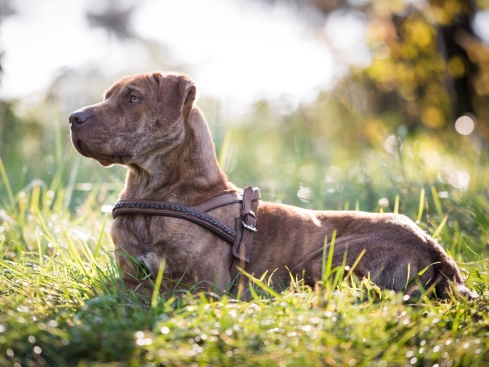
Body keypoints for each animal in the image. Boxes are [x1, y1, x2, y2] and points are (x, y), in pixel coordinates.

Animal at [68, 70, 476, 300]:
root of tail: (436, 249)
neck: (154, 191)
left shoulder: (202, 284)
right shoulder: (130, 265)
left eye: (132, 98)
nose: (73, 117)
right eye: (108, 96)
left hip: (327, 258)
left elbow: (133, 287)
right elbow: (124, 281)